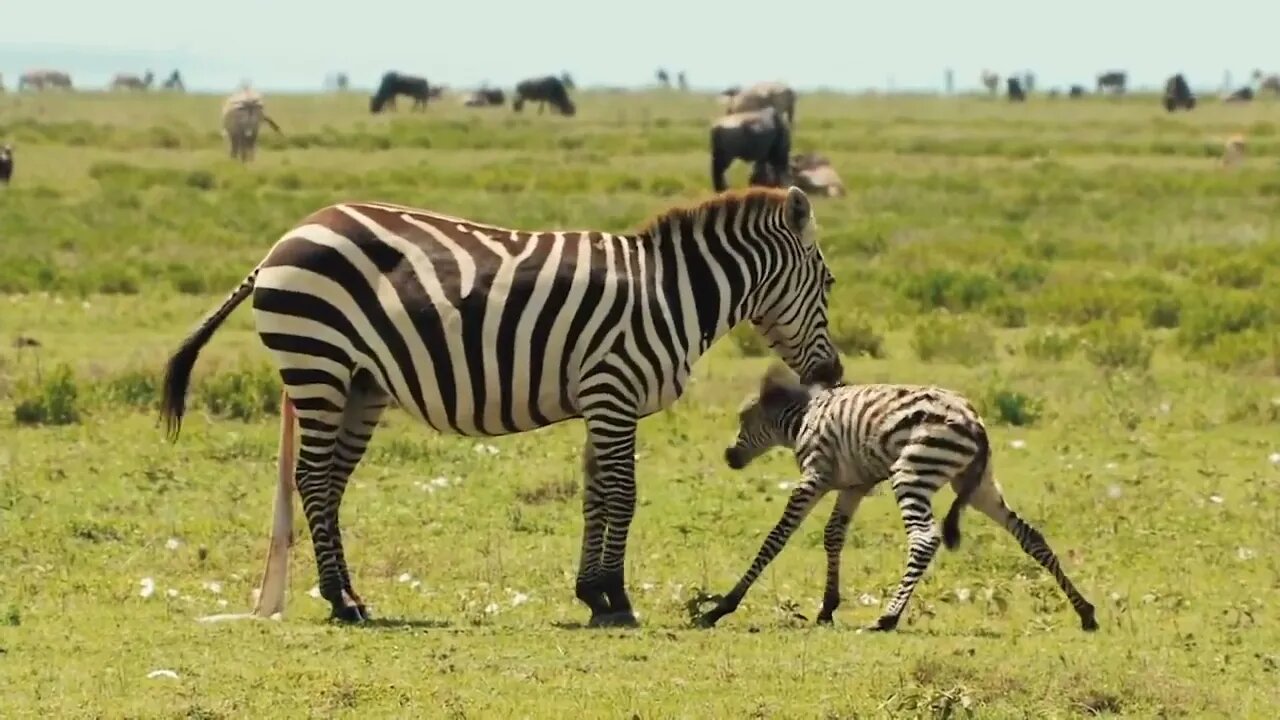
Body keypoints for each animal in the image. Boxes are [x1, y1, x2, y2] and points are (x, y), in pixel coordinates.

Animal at [160, 185, 844, 627]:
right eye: (831, 281)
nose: (834, 373)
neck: (671, 295)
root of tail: (280, 243)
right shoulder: (614, 389)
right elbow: (623, 494)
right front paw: (617, 599)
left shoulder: (601, 399)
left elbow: (596, 494)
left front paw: (593, 595)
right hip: (317, 364)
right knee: (309, 476)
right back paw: (342, 602)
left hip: (358, 384)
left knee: (327, 483)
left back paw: (347, 597)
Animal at [696, 366, 1095, 630]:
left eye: (744, 418)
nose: (729, 457)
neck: (802, 421)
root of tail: (975, 423)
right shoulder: (852, 486)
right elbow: (833, 536)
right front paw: (827, 608)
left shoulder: (814, 478)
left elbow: (775, 538)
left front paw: (721, 607)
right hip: (980, 486)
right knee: (1031, 535)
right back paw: (1085, 611)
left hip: (913, 474)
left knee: (924, 538)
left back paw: (888, 616)